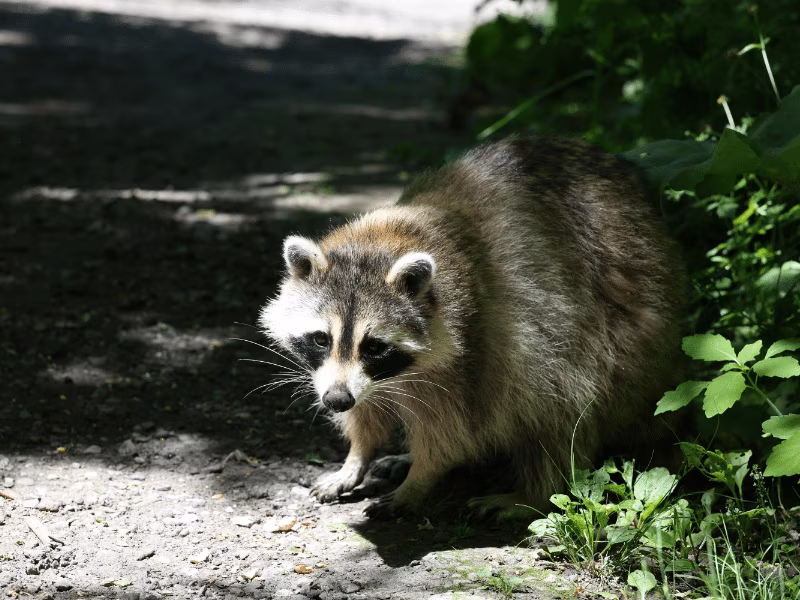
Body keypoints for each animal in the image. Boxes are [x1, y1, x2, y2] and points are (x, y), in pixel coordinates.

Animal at [259, 136, 684, 516]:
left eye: (375, 346)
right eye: (320, 338)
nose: (336, 400)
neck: (383, 240)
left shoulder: (479, 344)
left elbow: (457, 430)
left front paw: (420, 478)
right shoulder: (357, 377)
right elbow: (367, 410)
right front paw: (357, 456)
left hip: (620, 334)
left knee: (562, 395)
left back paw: (534, 493)